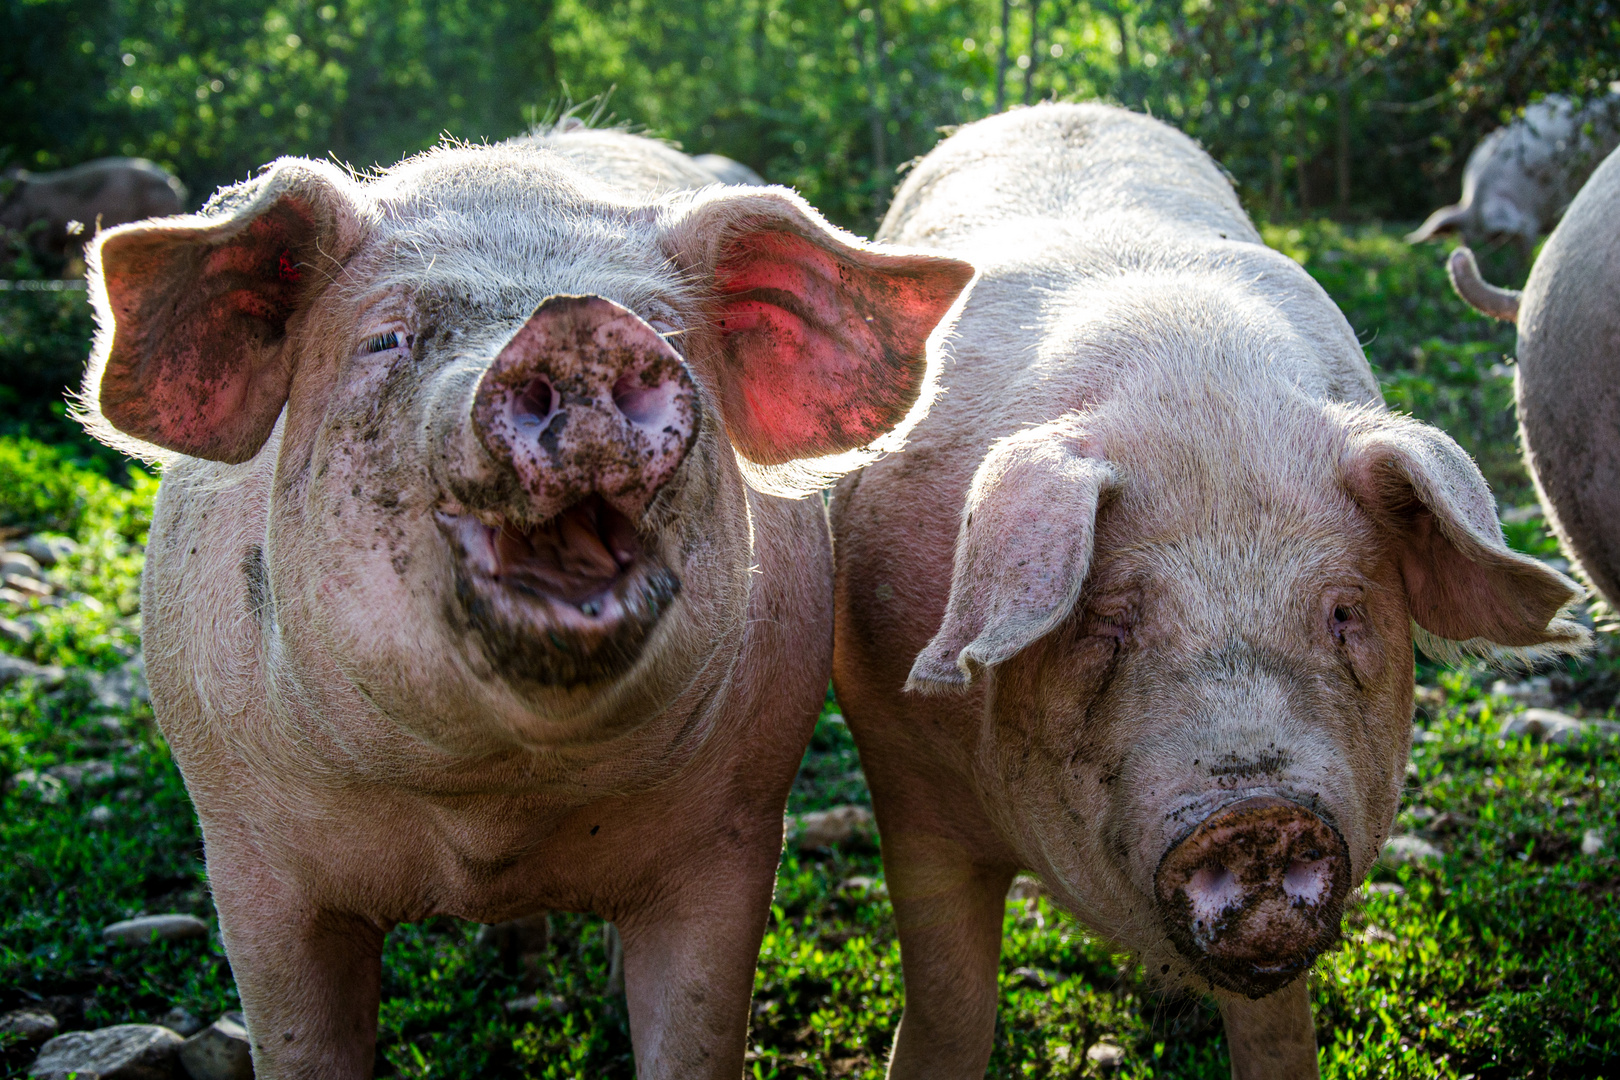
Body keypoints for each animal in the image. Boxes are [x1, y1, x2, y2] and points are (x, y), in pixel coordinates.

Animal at [78, 128, 972, 1080]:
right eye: (386, 337)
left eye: (668, 330)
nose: (575, 323)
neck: (493, 808)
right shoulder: (247, 852)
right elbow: (299, 1040)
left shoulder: (734, 839)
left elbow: (695, 1031)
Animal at [829, 103, 1587, 1080]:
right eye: (1109, 621)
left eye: (1344, 612)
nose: (1257, 815)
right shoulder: (906, 779)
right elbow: (952, 1007)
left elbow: (1277, 1033)